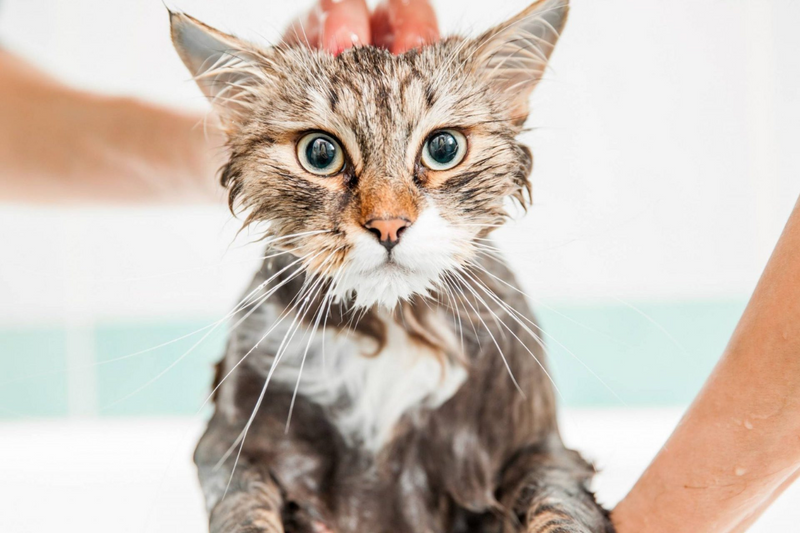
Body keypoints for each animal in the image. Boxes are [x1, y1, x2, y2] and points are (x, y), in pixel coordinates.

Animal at [170, 2, 612, 528]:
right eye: (320, 153)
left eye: (443, 148)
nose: (387, 225)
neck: (393, 327)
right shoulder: (231, 449)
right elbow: (244, 512)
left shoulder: (541, 450)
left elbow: (559, 510)